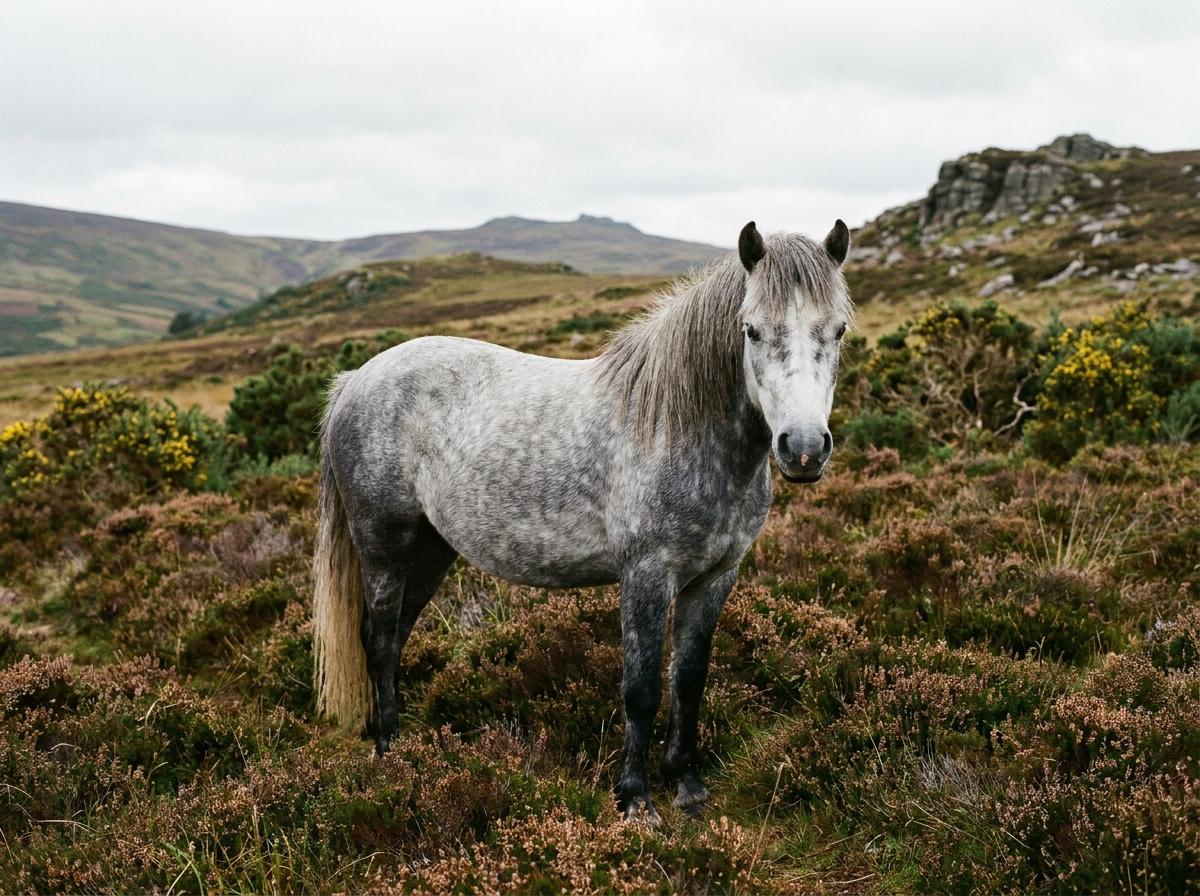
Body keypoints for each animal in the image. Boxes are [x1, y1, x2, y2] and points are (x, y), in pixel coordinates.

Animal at [313, 219, 853, 822]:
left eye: (839, 330)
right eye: (752, 330)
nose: (803, 449)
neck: (678, 427)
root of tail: (355, 380)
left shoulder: (714, 578)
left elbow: (688, 681)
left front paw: (687, 785)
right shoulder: (646, 576)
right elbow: (640, 689)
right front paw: (635, 800)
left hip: (431, 550)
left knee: (397, 635)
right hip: (384, 544)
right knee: (380, 638)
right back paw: (390, 755)